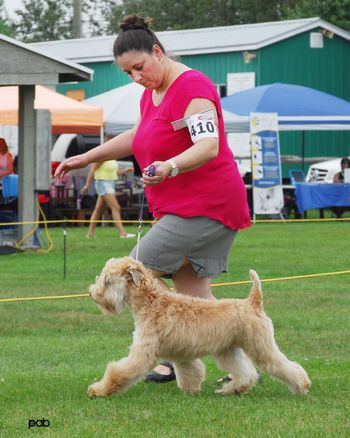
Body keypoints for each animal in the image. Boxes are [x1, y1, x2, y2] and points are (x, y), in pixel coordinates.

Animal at [86, 256, 310, 396]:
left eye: (107, 280)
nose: (92, 293)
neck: (151, 303)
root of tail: (253, 302)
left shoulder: (143, 352)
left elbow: (120, 371)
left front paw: (98, 390)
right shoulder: (182, 354)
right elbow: (191, 372)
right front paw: (191, 390)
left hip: (260, 346)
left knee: (283, 366)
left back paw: (302, 386)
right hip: (228, 351)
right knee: (246, 373)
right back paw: (232, 390)